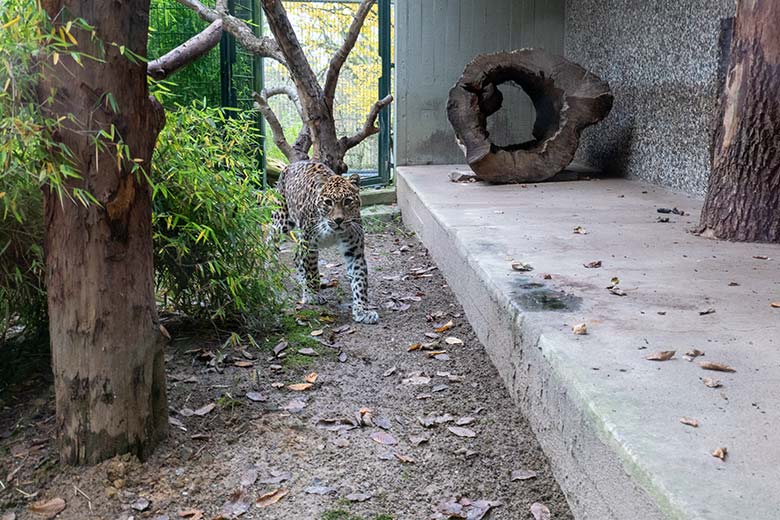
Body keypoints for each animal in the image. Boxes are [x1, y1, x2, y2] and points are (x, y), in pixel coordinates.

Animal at [270, 160, 380, 322]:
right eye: (328, 202)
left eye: (348, 201)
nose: (338, 220)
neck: (333, 231)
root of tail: (291, 164)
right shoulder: (309, 245)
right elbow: (312, 272)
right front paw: (313, 295)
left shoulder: (354, 251)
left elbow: (360, 280)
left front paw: (362, 310)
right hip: (281, 220)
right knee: (270, 240)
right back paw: (268, 267)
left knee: (296, 257)